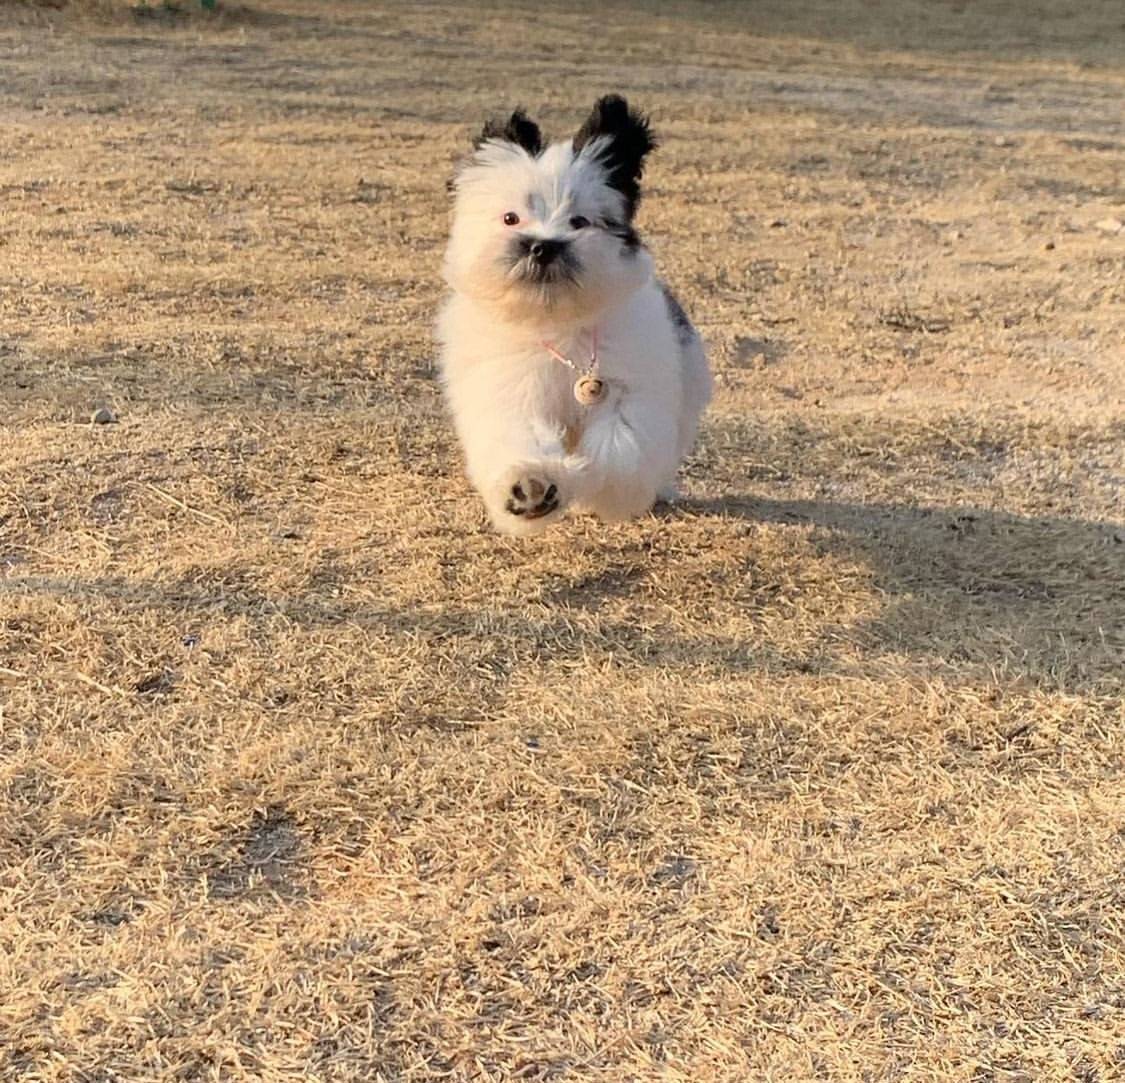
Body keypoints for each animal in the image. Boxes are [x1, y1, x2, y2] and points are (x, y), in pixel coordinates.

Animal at [434, 95, 706, 535]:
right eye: (511, 218)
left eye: (579, 221)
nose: (542, 246)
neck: (558, 322)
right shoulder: (514, 391)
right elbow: (522, 440)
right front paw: (532, 486)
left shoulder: (626, 393)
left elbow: (617, 453)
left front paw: (583, 482)